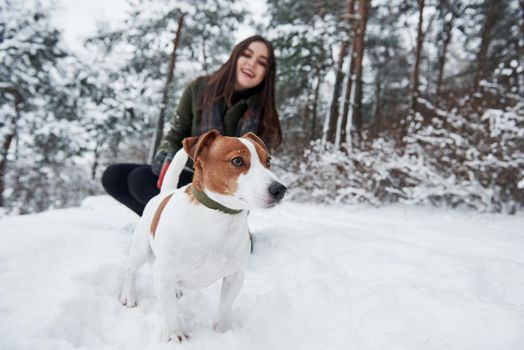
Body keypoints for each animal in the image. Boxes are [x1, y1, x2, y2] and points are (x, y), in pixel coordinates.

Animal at [119, 129, 286, 342]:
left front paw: (223, 333)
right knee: (130, 269)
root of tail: (163, 194)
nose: (280, 189)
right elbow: (171, 310)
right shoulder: (163, 274)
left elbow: (225, 307)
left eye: (268, 161)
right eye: (237, 161)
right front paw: (175, 334)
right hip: (141, 249)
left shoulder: (234, 276)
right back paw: (129, 295)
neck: (218, 219)